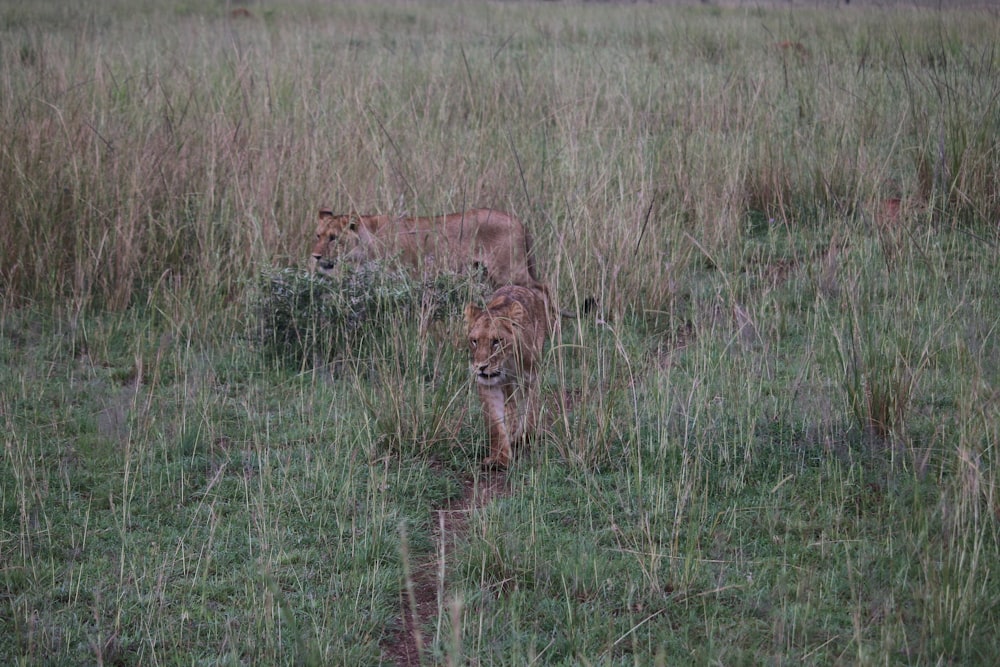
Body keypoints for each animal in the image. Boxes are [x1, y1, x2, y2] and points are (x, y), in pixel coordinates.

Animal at [312, 207, 548, 290]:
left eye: (334, 239)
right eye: (318, 235)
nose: (315, 256)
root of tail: (518, 220)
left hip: (510, 272)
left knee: (543, 289)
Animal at [464, 284, 552, 468]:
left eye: (496, 341)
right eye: (474, 341)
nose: (481, 367)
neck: (507, 363)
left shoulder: (531, 377)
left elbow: (530, 409)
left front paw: (524, 435)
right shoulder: (489, 384)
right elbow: (495, 423)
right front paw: (499, 458)